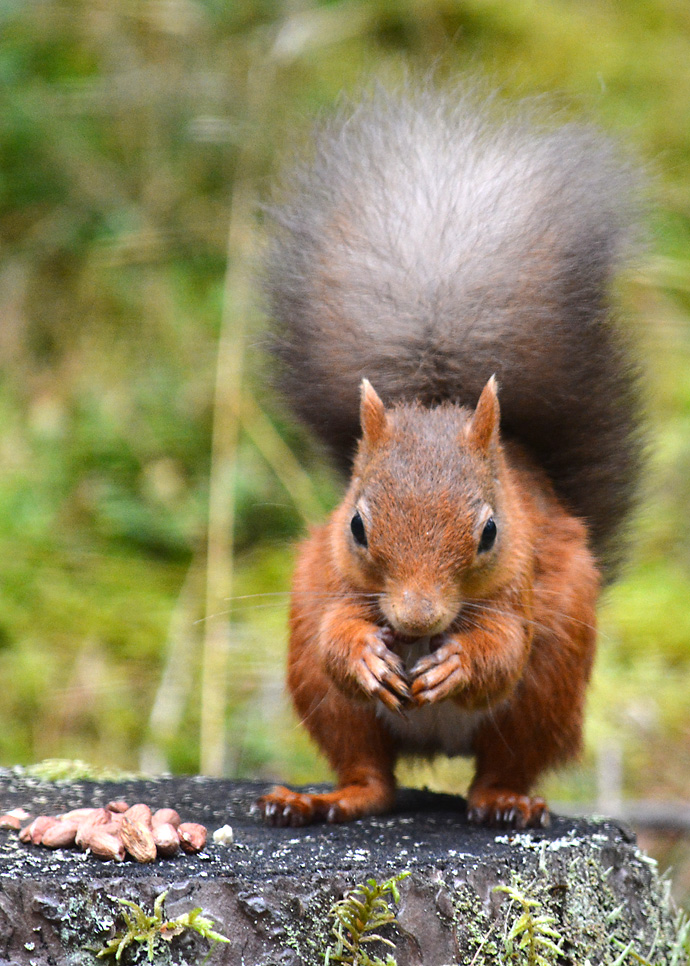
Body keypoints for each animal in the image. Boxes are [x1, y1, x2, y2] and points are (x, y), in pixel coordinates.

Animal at [255, 83, 644, 832]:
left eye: (490, 531)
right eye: (356, 526)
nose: (414, 620)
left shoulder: (522, 584)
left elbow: (503, 651)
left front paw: (460, 661)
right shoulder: (332, 578)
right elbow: (335, 635)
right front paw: (364, 650)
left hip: (547, 694)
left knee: (501, 764)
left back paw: (507, 802)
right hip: (325, 698)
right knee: (370, 774)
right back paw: (322, 799)